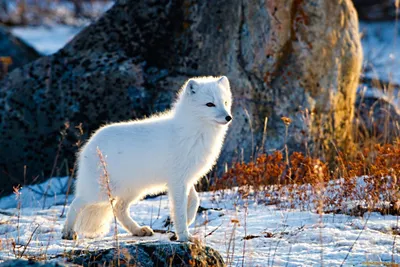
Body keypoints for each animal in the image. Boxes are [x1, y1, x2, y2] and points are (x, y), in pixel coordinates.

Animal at [61, 76, 233, 243]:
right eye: (210, 104)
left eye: (225, 102)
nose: (228, 117)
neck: (194, 130)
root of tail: (89, 145)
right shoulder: (177, 181)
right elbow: (179, 210)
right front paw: (184, 236)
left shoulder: (186, 178)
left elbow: (195, 200)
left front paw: (189, 221)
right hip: (101, 191)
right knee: (76, 203)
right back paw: (67, 232)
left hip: (133, 190)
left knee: (118, 208)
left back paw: (138, 230)